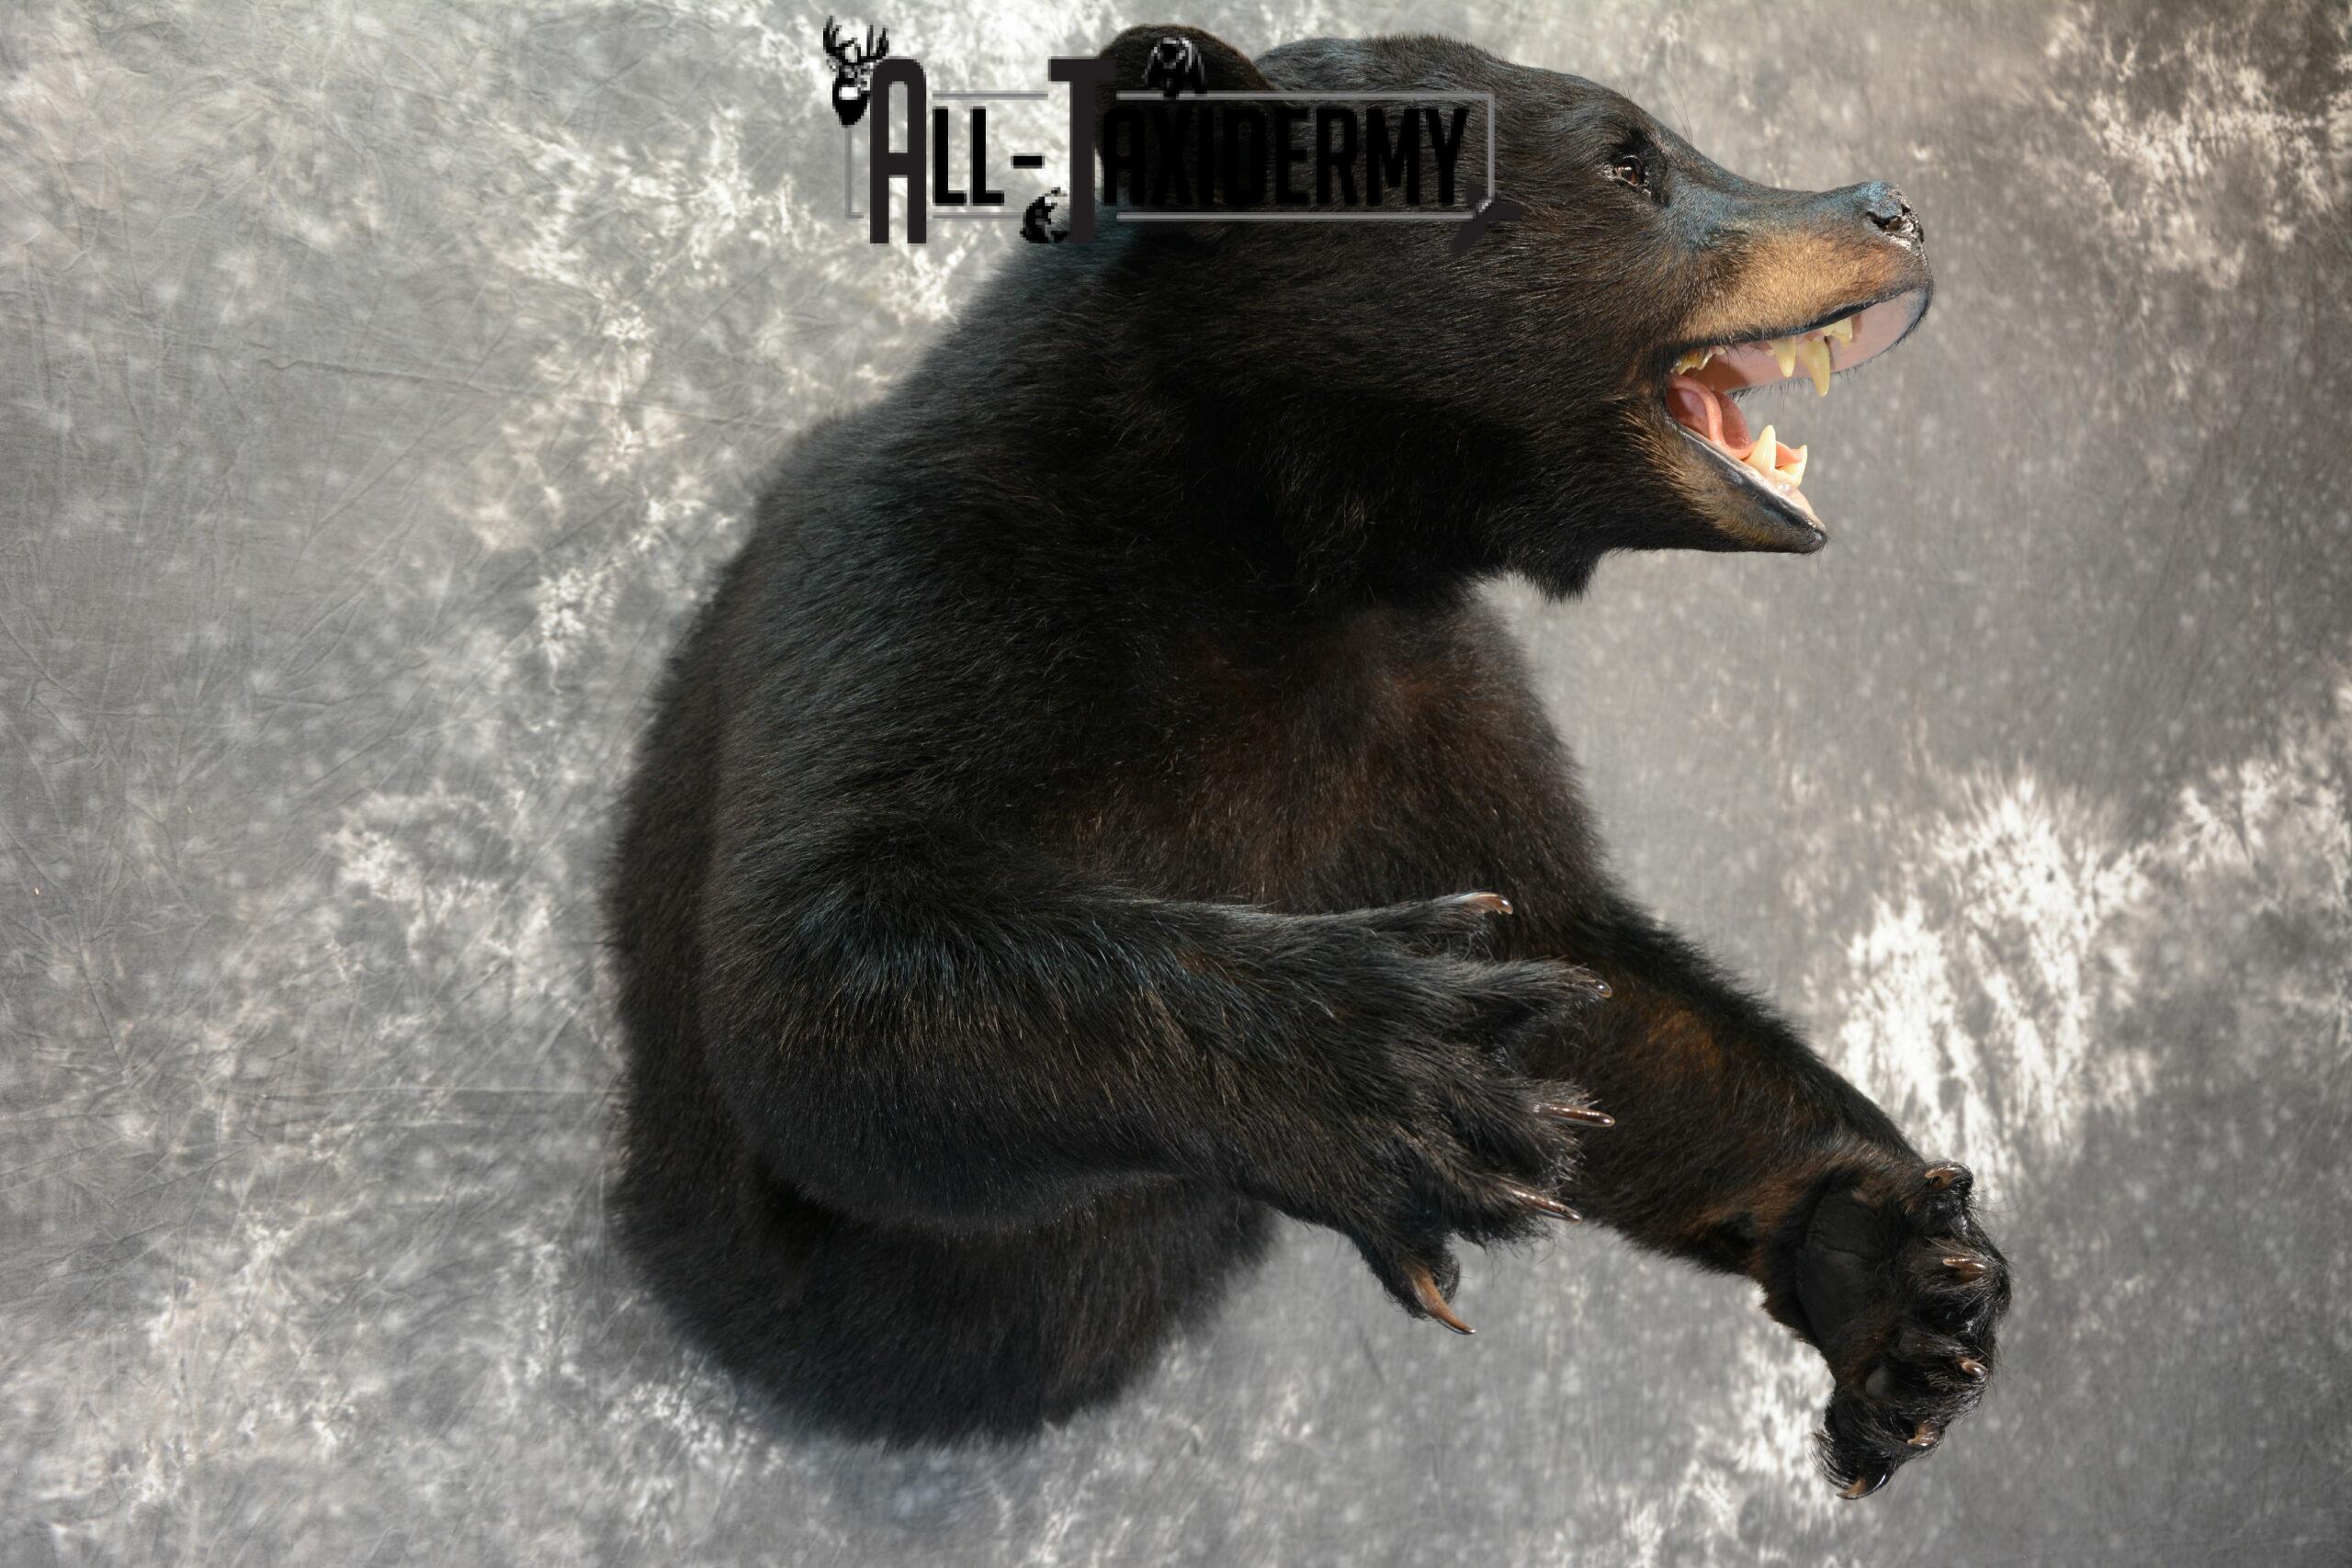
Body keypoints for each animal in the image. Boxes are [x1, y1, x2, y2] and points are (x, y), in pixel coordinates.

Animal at [606, 24, 2011, 1500]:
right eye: (1631, 162)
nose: (1893, 207)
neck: (1270, 546)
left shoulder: (1420, 698)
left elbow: (1591, 980)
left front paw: (1895, 1263)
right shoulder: (925, 576)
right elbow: (817, 967)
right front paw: (1384, 1064)